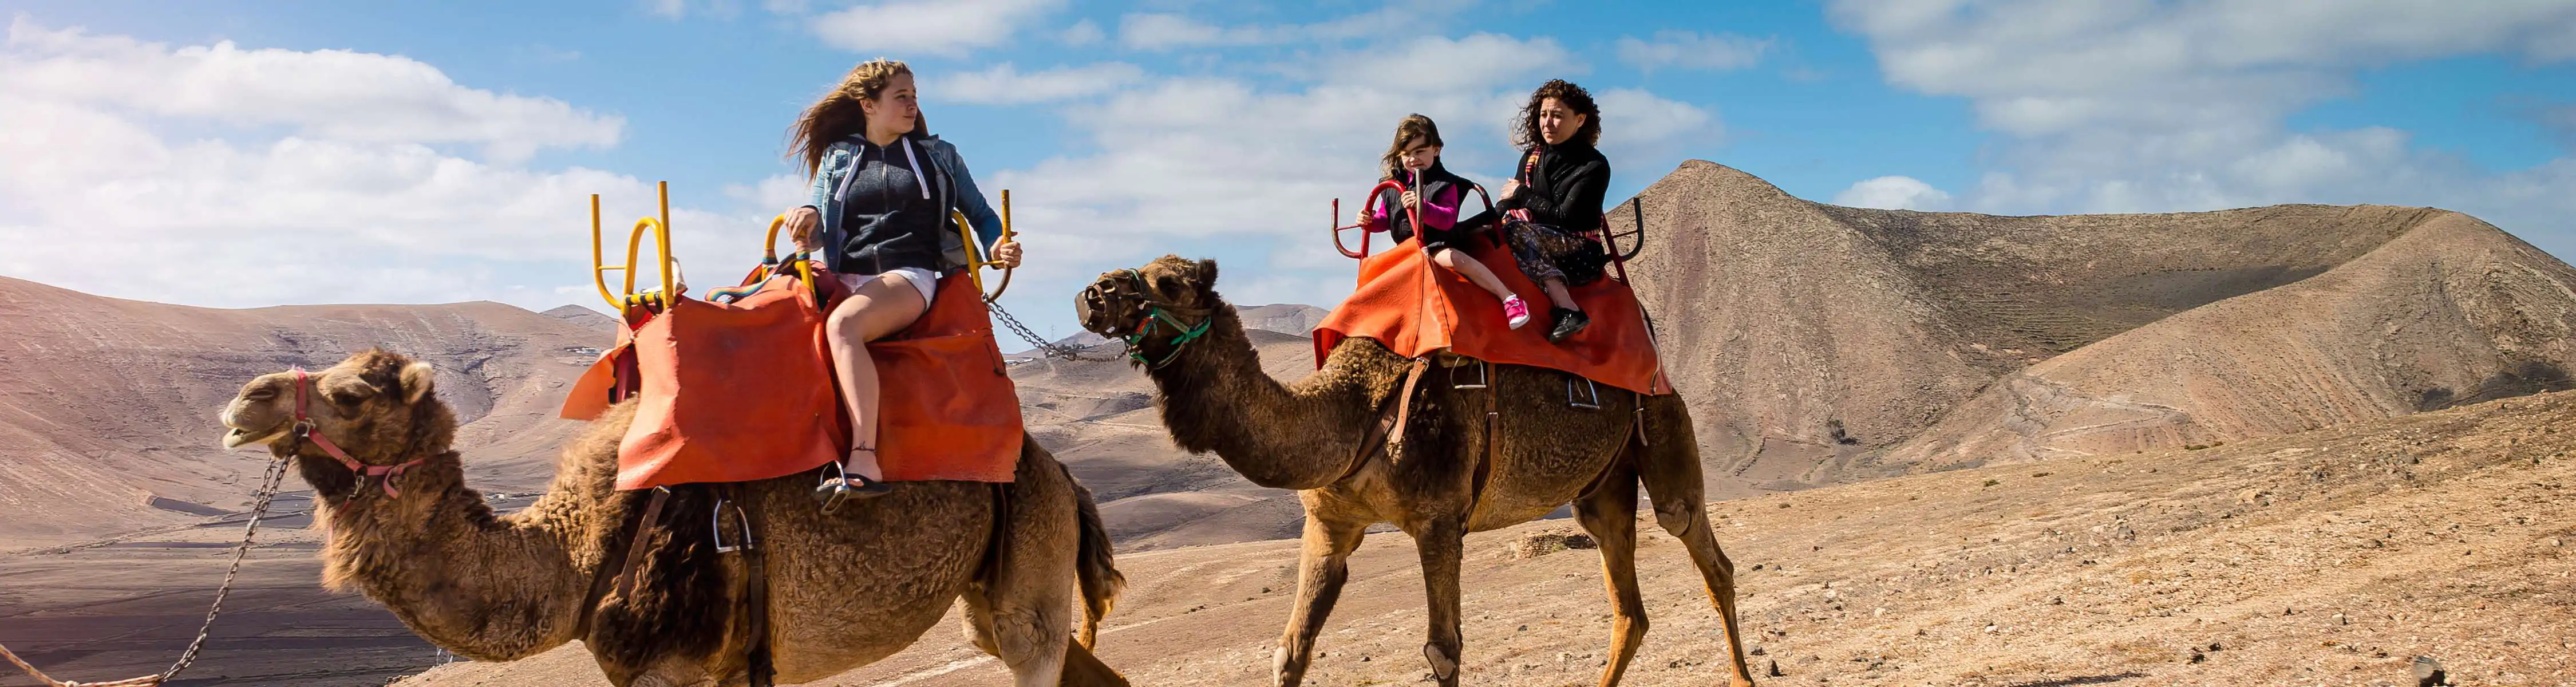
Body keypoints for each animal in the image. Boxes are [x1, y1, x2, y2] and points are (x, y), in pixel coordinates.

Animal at [1077, 258, 1762, 687]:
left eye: (1169, 281)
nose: (1093, 293)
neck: (1353, 409)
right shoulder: (1328, 523)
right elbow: (1290, 651)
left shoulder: (1439, 519)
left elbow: (1443, 651)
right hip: (1602, 487)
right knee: (1627, 601)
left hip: (1663, 421)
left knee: (1702, 547)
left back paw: (1741, 675)